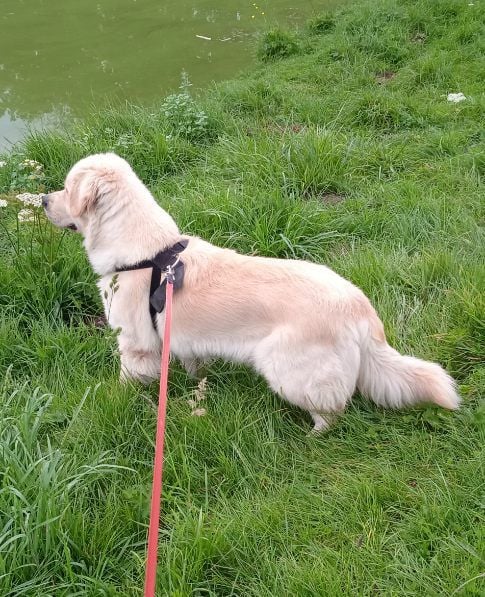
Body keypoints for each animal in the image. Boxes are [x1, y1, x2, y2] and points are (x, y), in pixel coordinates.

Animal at [43, 153, 460, 431]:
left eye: (66, 187)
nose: (44, 200)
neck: (147, 254)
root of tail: (360, 308)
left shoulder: (135, 345)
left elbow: (126, 381)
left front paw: (117, 399)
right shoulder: (184, 342)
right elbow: (196, 370)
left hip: (287, 368)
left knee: (332, 410)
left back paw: (313, 436)